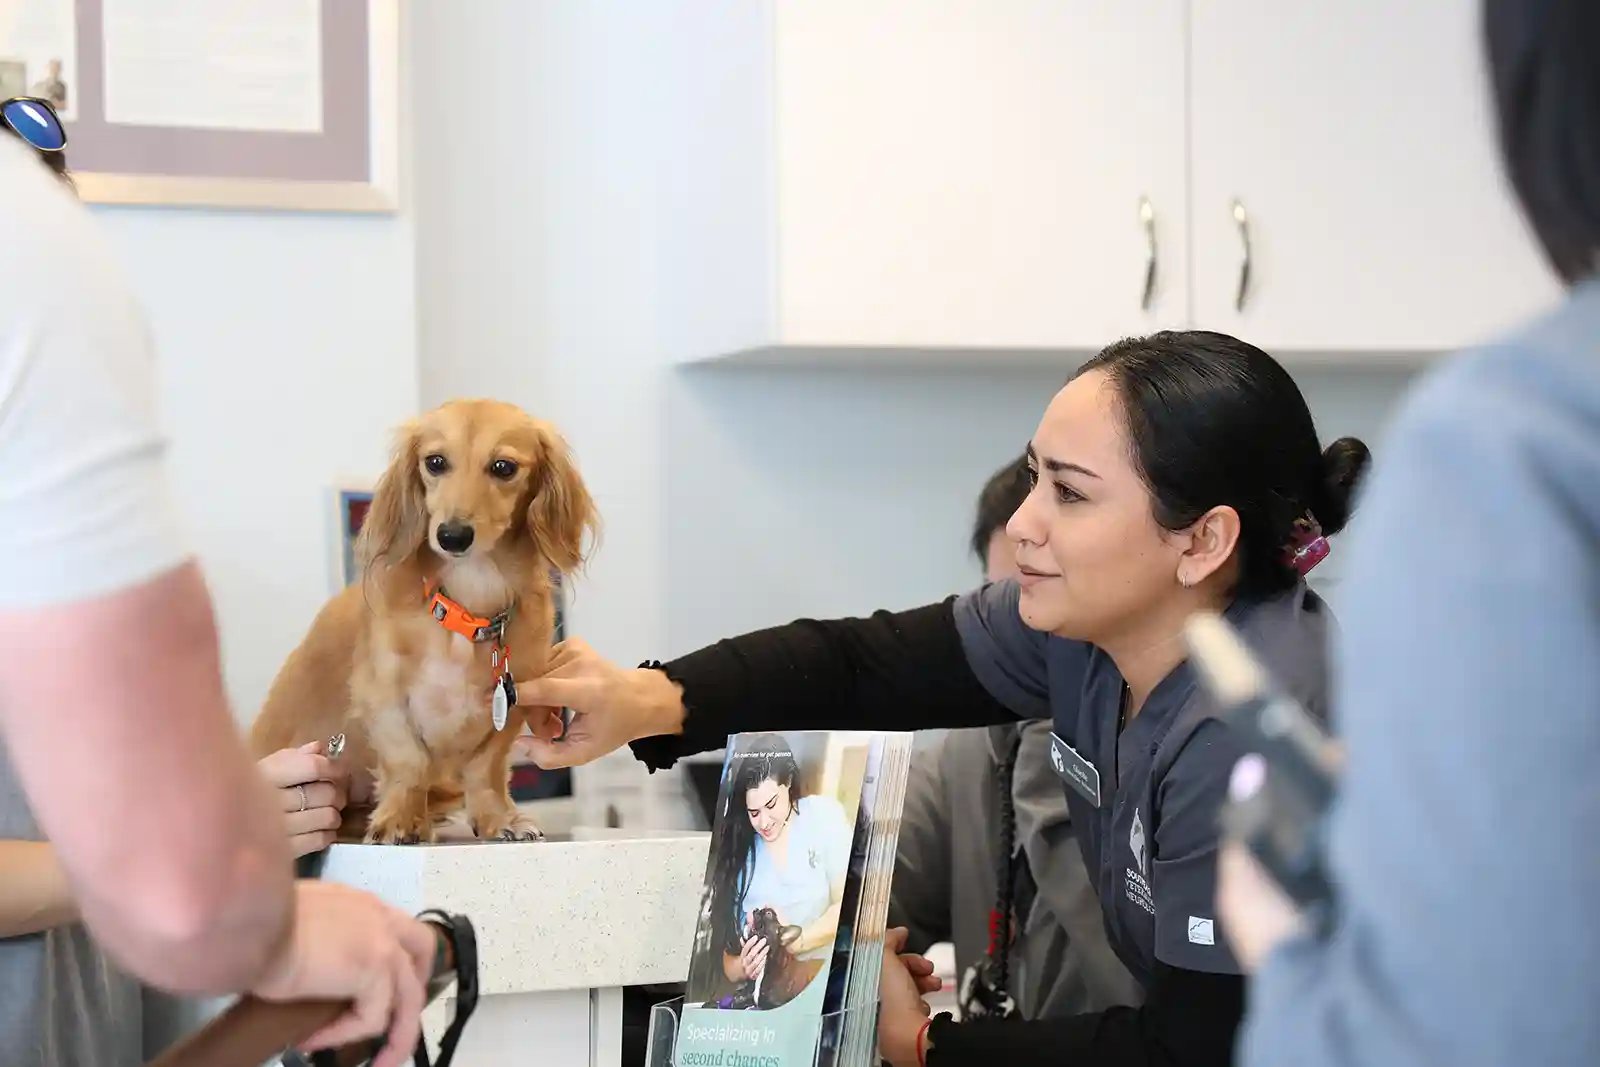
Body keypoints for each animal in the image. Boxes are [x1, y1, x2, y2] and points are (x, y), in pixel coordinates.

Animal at [249, 396, 601, 844]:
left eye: (503, 467)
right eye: (435, 462)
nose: (452, 536)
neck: (466, 606)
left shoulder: (513, 698)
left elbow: (486, 767)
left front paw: (497, 818)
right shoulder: (383, 696)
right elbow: (408, 761)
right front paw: (400, 819)